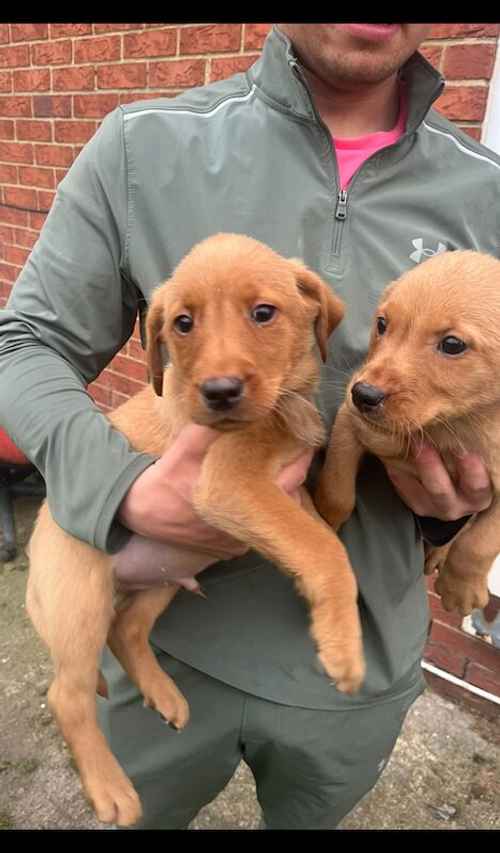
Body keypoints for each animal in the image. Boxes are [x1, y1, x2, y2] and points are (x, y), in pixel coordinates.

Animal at [316, 250, 500, 616]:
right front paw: (323, 519)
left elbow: (481, 542)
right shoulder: (351, 422)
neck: (448, 427)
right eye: (382, 324)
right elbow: (337, 489)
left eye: (453, 344)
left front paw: (461, 588)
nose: (363, 395)